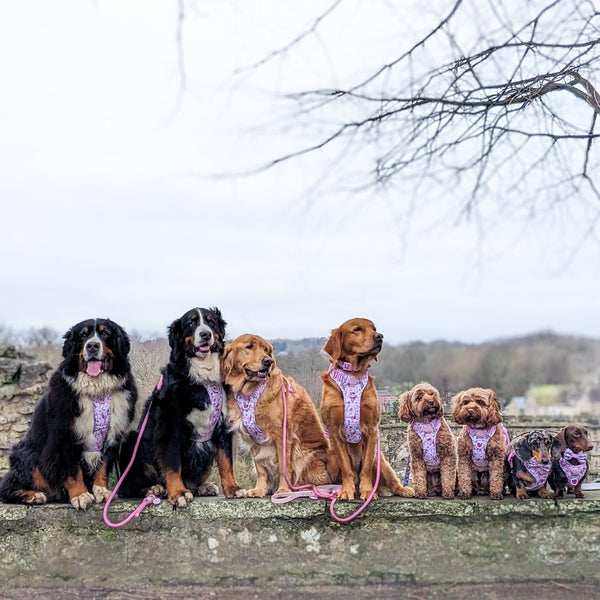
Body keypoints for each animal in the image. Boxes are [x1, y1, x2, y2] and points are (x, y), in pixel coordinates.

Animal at [0, 318, 137, 510]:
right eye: (83, 335)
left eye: (105, 334)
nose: (92, 346)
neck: (97, 390)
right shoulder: (65, 435)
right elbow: (73, 472)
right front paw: (80, 496)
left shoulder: (113, 434)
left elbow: (103, 466)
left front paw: (102, 491)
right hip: (29, 454)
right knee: (7, 487)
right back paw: (33, 495)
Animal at [117, 308, 239, 508]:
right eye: (191, 323)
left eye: (211, 322)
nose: (205, 334)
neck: (203, 376)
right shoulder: (171, 428)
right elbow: (173, 465)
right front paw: (178, 493)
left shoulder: (223, 427)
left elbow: (226, 461)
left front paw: (233, 488)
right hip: (131, 440)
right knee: (128, 488)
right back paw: (154, 489)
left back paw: (203, 487)